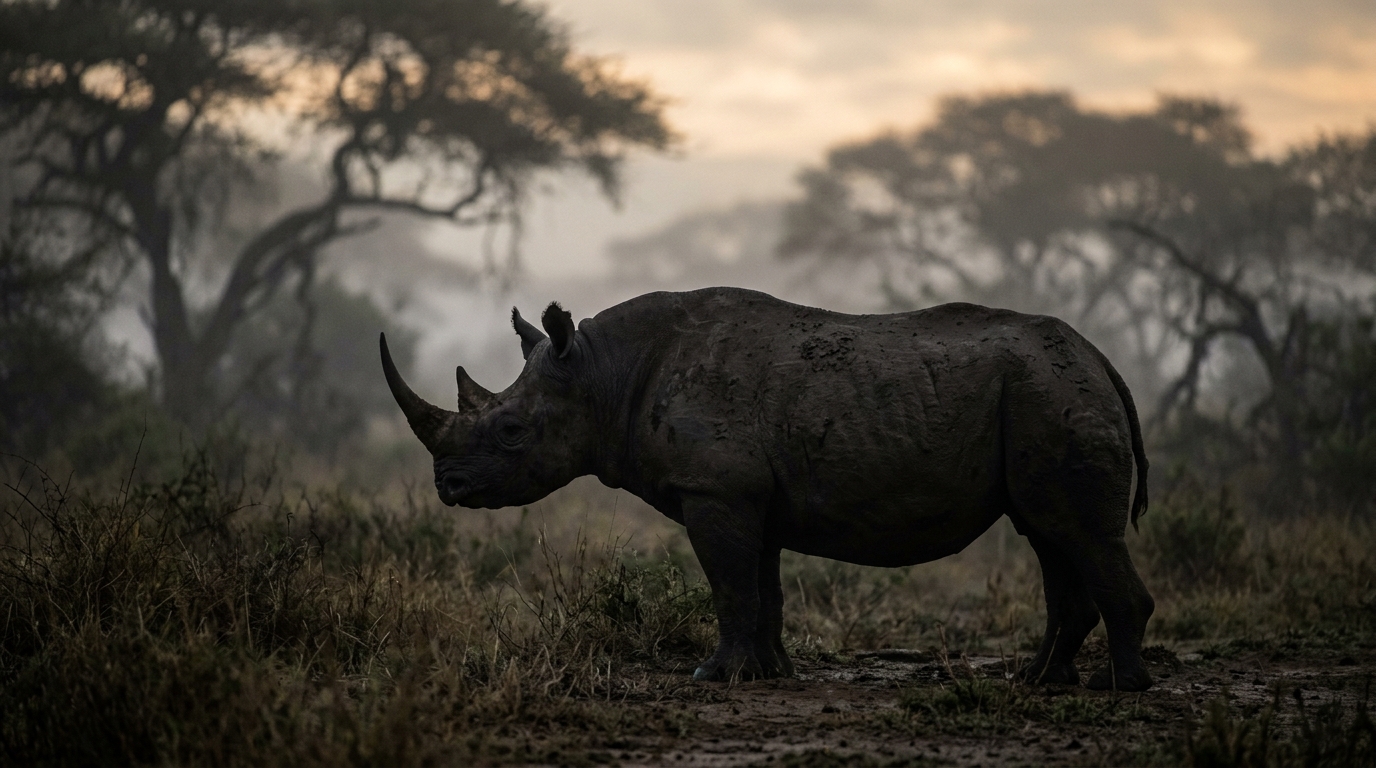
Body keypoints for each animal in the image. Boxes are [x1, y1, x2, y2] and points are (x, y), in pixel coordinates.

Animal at [380, 287, 1155, 691]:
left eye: (511, 432)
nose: (448, 486)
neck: (601, 376)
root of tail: (1101, 357)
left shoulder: (715, 490)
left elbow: (731, 585)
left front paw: (711, 676)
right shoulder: (749, 495)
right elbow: (764, 588)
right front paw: (772, 672)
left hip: (1052, 391)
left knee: (1077, 534)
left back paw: (1120, 689)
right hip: (1045, 391)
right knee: (1051, 534)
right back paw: (1037, 680)